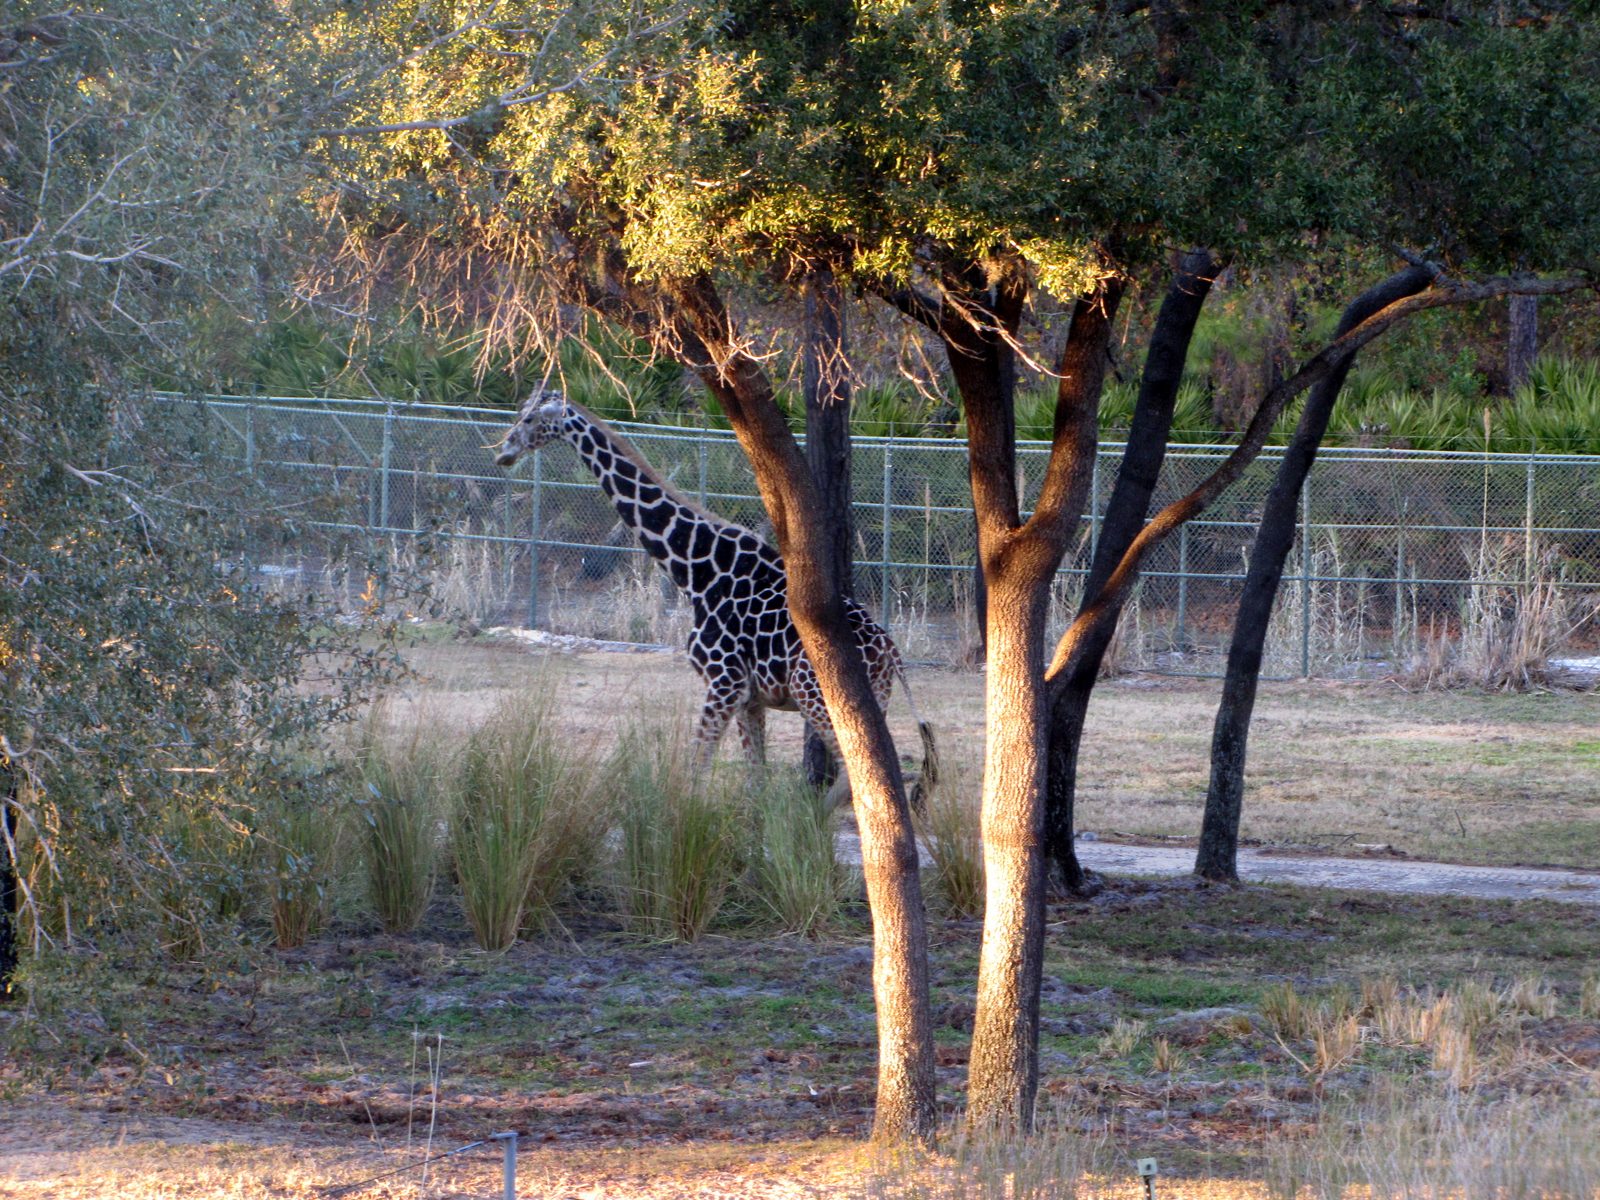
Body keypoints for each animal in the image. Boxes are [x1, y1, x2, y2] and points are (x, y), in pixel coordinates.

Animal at [494, 390, 934, 806]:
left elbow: (696, 768)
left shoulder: (725, 683)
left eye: (528, 418)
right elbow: (754, 780)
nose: (503, 453)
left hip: (816, 694)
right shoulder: (750, 698)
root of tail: (889, 648)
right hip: (872, 697)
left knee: (853, 775)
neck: (695, 572)